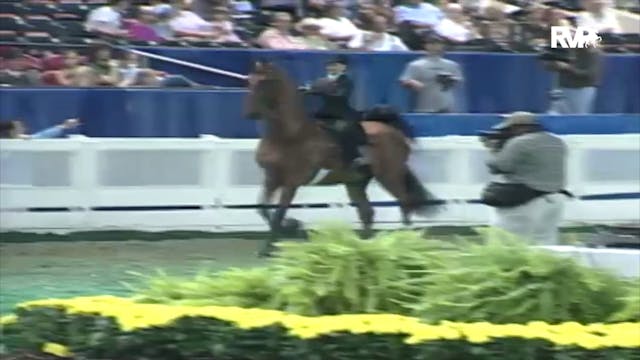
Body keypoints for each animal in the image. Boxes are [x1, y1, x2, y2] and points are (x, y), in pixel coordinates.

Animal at [245, 61, 440, 256]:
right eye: (250, 81)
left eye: (265, 82)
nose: (251, 113)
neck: (290, 135)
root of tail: (392, 130)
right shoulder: (271, 178)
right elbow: (262, 208)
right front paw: (288, 229)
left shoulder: (291, 183)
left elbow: (278, 214)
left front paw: (278, 239)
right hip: (356, 182)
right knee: (368, 212)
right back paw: (364, 248)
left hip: (390, 175)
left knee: (405, 203)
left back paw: (404, 244)